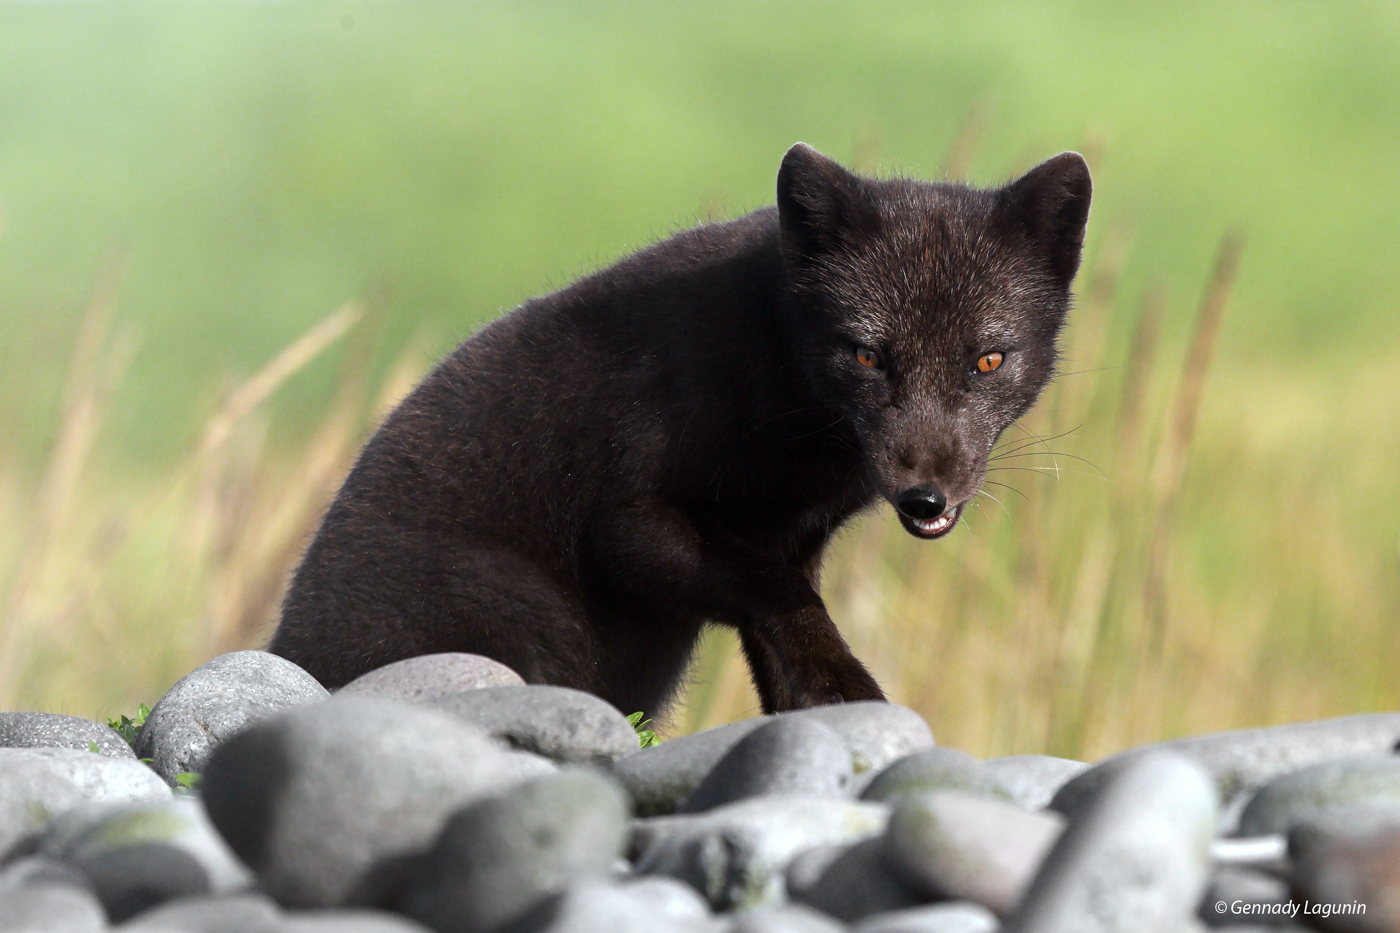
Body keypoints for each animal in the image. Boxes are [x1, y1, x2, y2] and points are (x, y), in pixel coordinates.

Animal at [267, 143, 1086, 711]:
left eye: (987, 359)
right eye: (866, 355)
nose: (924, 498)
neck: (774, 368)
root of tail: (283, 645)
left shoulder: (792, 540)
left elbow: (784, 643)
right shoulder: (630, 524)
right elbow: (787, 600)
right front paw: (854, 691)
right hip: (522, 622)